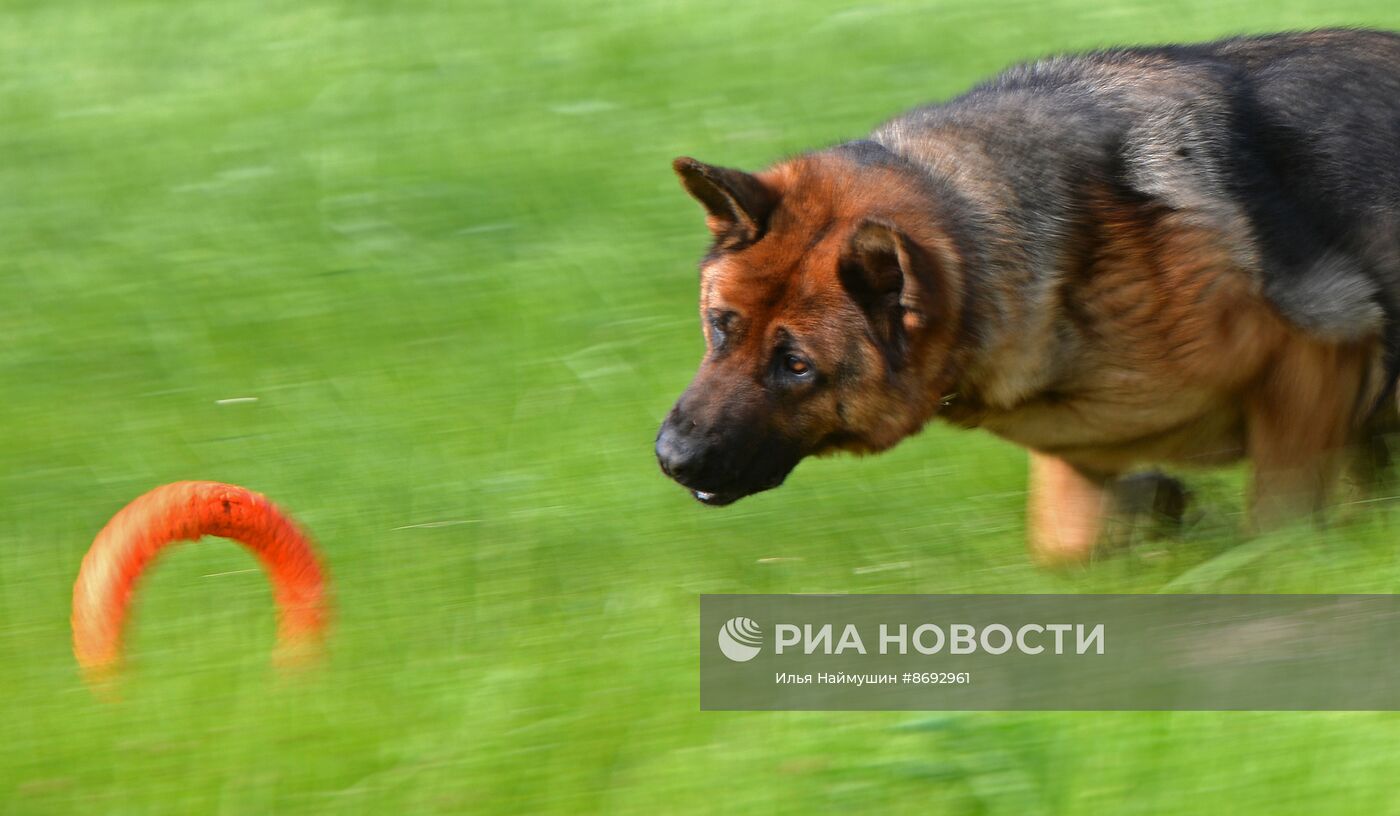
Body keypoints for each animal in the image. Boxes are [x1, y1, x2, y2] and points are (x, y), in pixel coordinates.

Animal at [652, 33, 1400, 568]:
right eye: (721, 327)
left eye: (797, 365)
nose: (670, 459)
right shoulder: (1082, 451)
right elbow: (1063, 545)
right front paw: (1161, 513)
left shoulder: (1316, 358)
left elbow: (1279, 526)